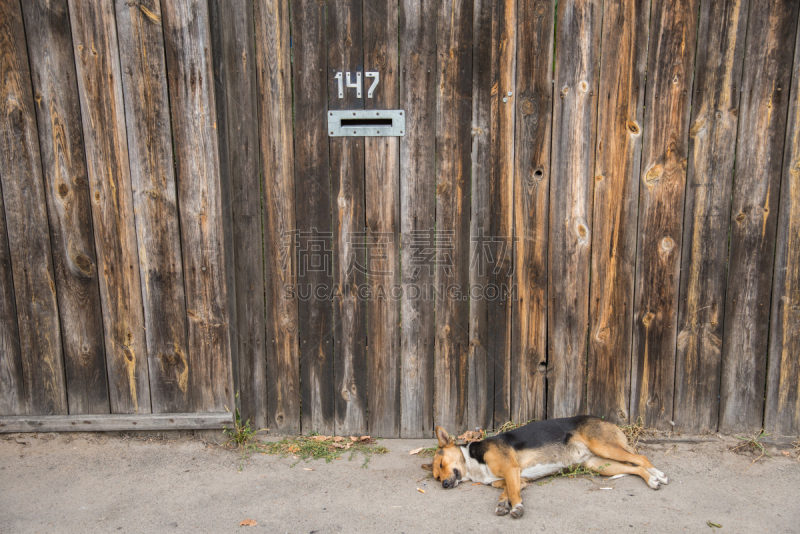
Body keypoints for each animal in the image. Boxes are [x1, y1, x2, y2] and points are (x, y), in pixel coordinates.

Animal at [422, 416, 672, 520]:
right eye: (436, 477)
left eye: (442, 464)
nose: (444, 485)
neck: (473, 463)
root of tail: (606, 420)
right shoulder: (517, 478)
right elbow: (506, 491)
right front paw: (503, 504)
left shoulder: (511, 470)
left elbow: (514, 494)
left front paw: (516, 508)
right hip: (600, 464)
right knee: (633, 467)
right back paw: (651, 479)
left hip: (604, 447)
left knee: (641, 458)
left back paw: (657, 475)